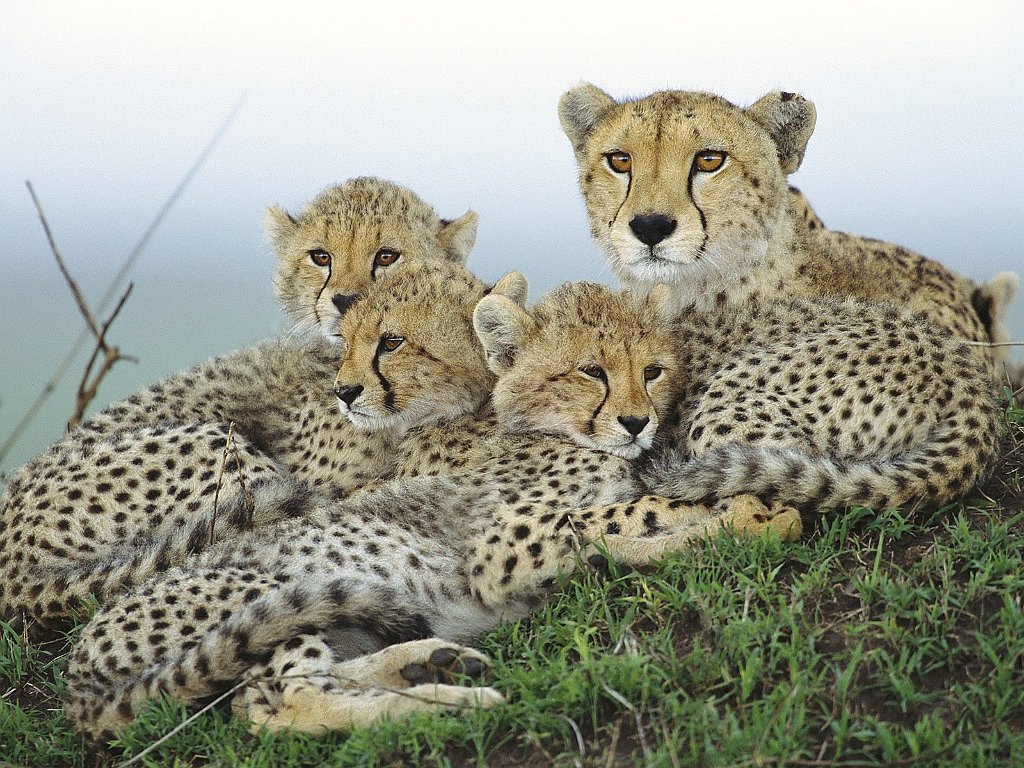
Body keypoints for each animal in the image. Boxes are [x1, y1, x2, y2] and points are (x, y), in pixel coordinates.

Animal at [64, 276, 802, 741]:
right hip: (268, 594)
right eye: (591, 371)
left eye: (652, 370)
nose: (637, 421)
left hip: (332, 617)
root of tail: (78, 661)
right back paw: (452, 704)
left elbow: (631, 515)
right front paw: (752, 515)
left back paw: (432, 664)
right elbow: (627, 517)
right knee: (285, 705)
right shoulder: (501, 552)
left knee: (294, 687)